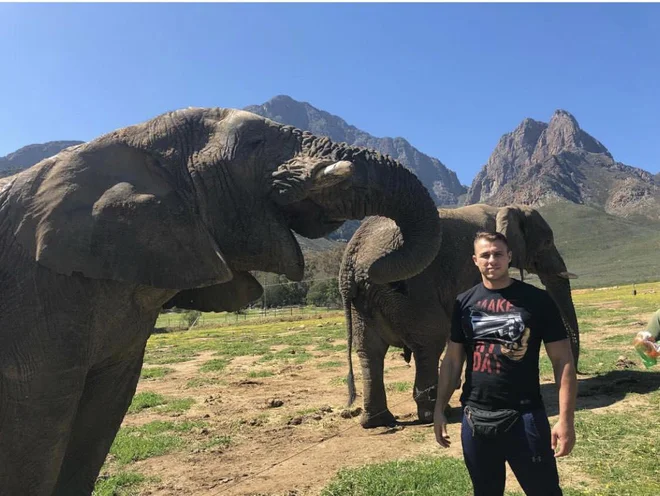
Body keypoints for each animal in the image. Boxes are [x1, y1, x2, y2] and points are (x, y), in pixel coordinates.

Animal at [1, 106, 444, 494]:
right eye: (255, 143)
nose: (371, 270)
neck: (131, 140)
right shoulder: (37, 292)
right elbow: (39, 417)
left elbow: (104, 409)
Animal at [340, 203, 576, 428]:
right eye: (547, 242)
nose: (577, 371)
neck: (504, 209)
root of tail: (350, 261)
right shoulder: (473, 269)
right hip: (407, 289)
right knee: (430, 341)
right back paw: (436, 414)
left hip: (367, 299)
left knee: (370, 351)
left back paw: (377, 421)